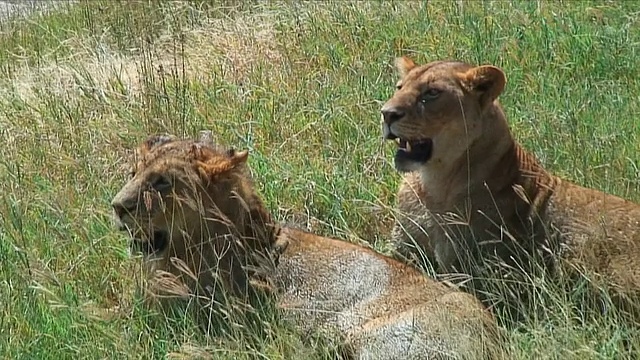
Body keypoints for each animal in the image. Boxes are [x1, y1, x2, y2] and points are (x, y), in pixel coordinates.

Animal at [380, 56, 640, 318]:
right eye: (399, 87)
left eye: (432, 93)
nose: (387, 114)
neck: (433, 185)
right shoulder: (402, 247)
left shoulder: (471, 272)